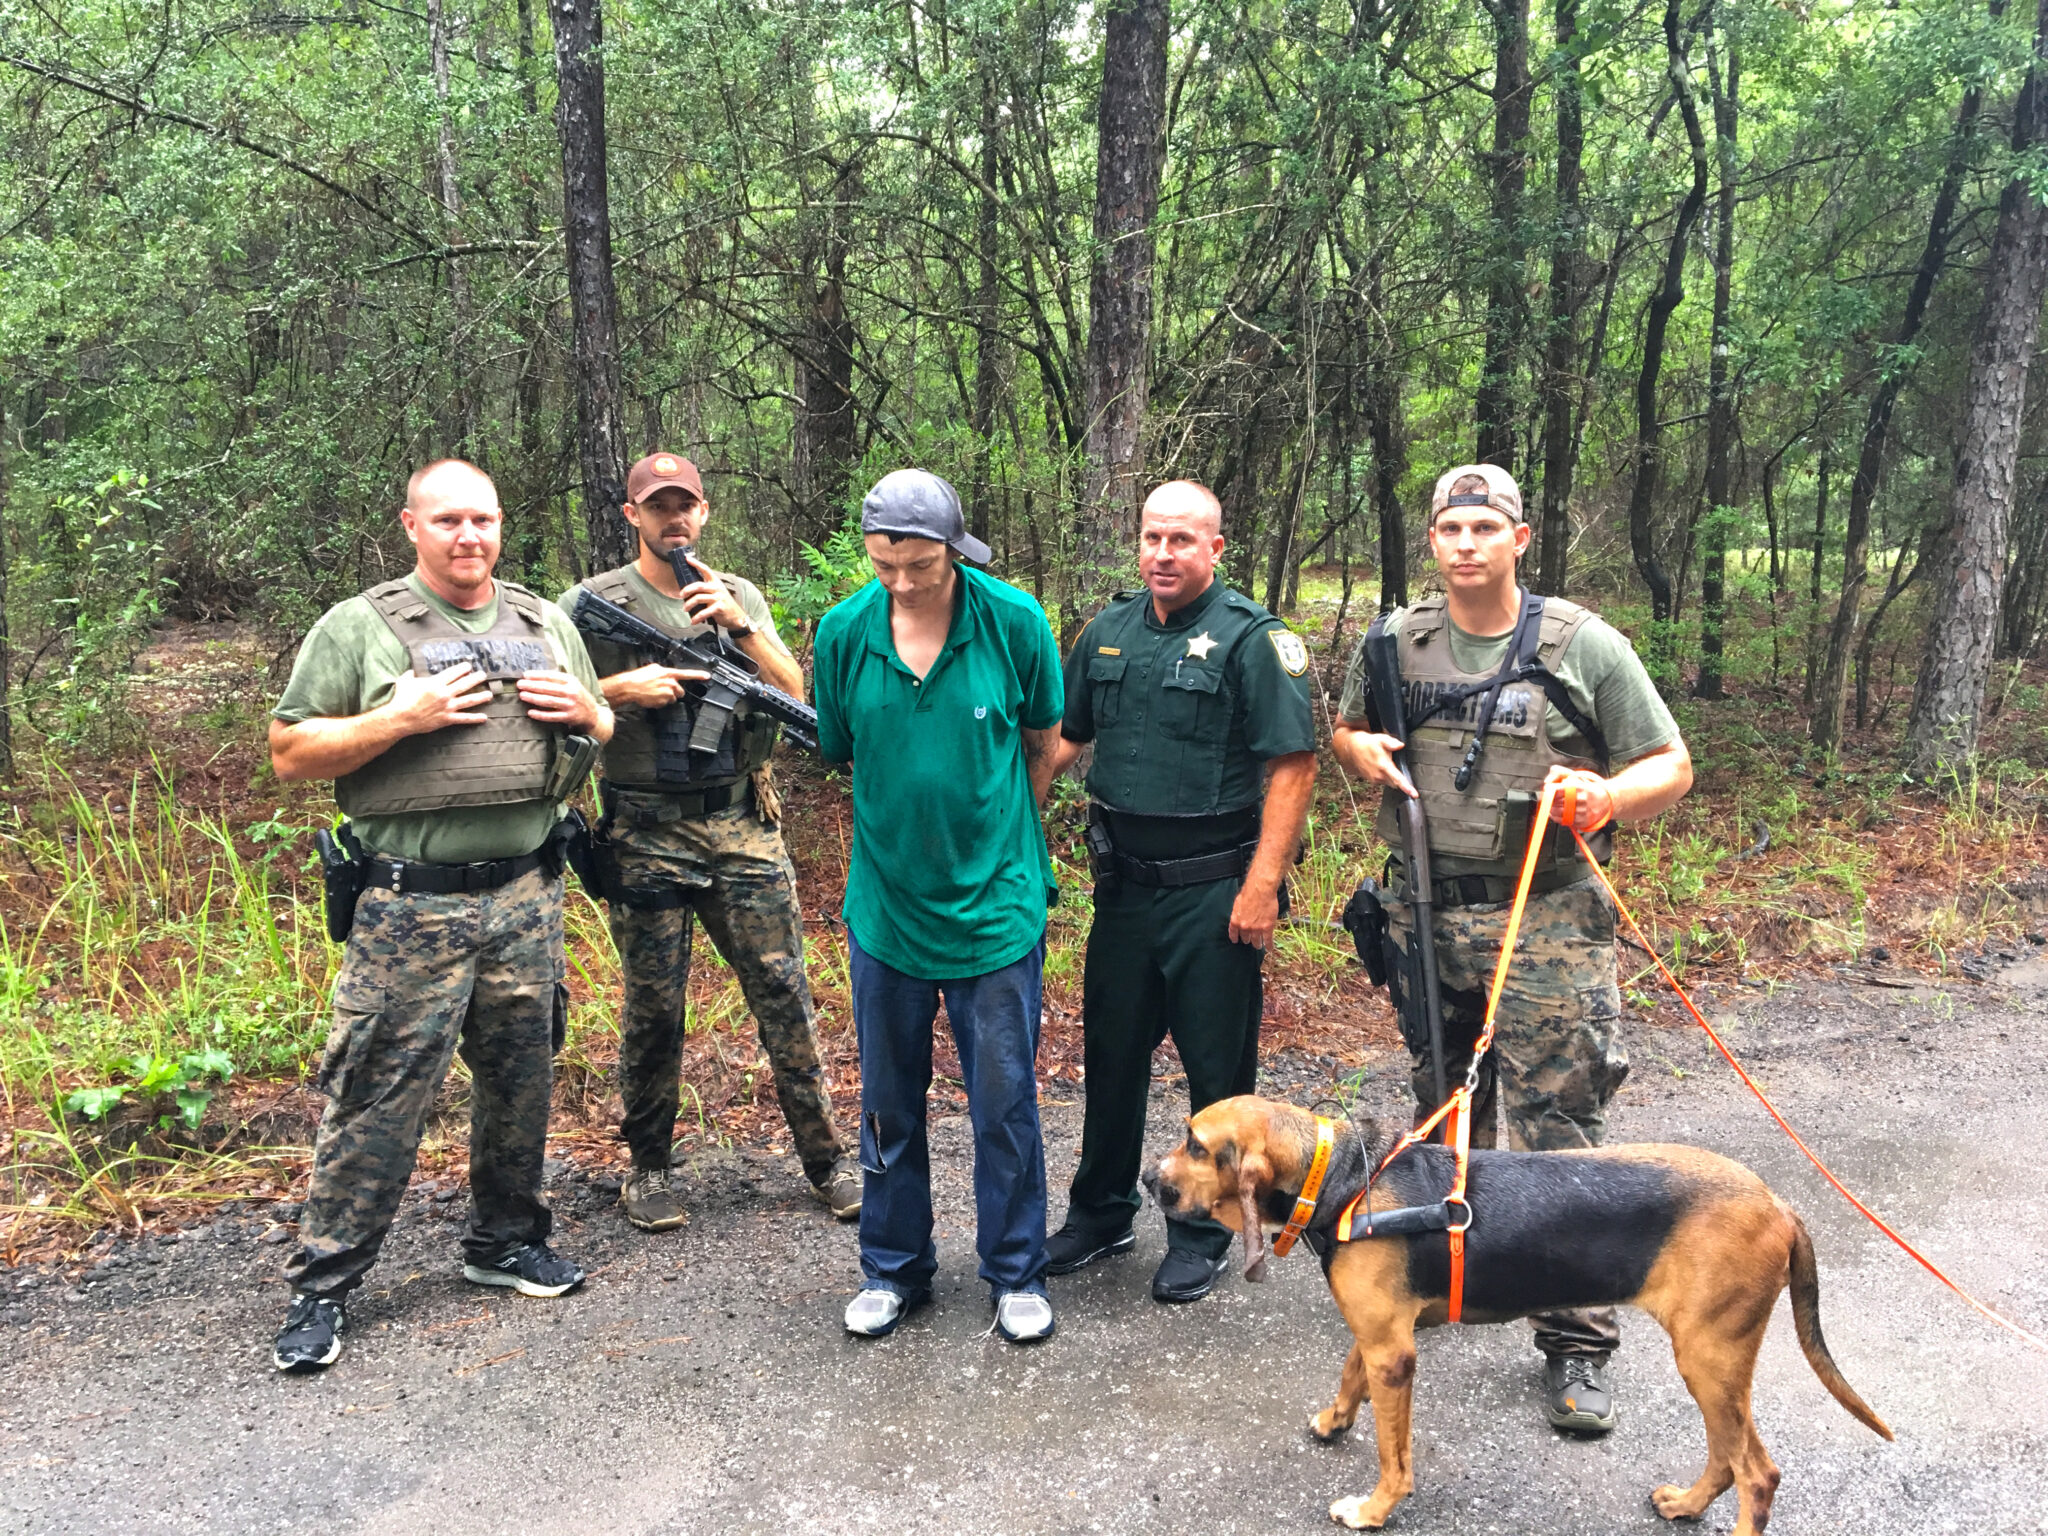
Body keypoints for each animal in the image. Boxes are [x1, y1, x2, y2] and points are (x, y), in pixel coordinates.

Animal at [1143, 1095, 1891, 1534]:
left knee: (1758, 1473)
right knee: (1729, 1460)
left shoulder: (1395, 1353)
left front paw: (1374, 1509)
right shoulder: (1381, 1336)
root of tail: (1778, 1205)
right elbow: (1350, 1375)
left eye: (1196, 1144)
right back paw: (1684, 1504)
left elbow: (1393, 1455)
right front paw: (1334, 1421)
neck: (1344, 1178)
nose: (1149, 1182)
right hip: (1712, 1365)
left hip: (1711, 1355)